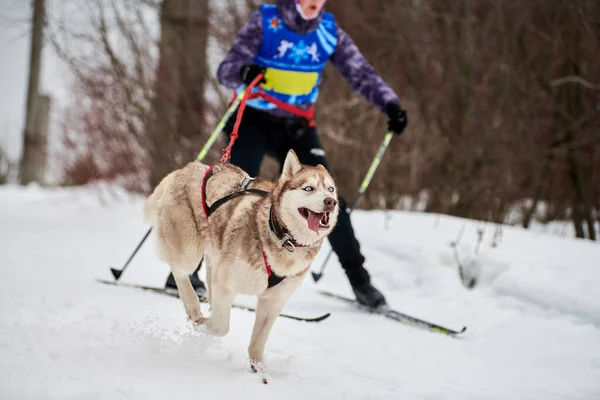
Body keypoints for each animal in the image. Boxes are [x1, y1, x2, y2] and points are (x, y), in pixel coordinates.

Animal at [142, 150, 338, 376]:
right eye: (309, 188)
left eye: (330, 189)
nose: (330, 201)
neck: (283, 238)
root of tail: (189, 167)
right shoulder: (226, 284)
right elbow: (220, 327)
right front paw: (203, 325)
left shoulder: (273, 300)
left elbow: (258, 340)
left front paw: (259, 370)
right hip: (189, 250)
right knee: (180, 271)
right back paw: (193, 307)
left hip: (213, 257)